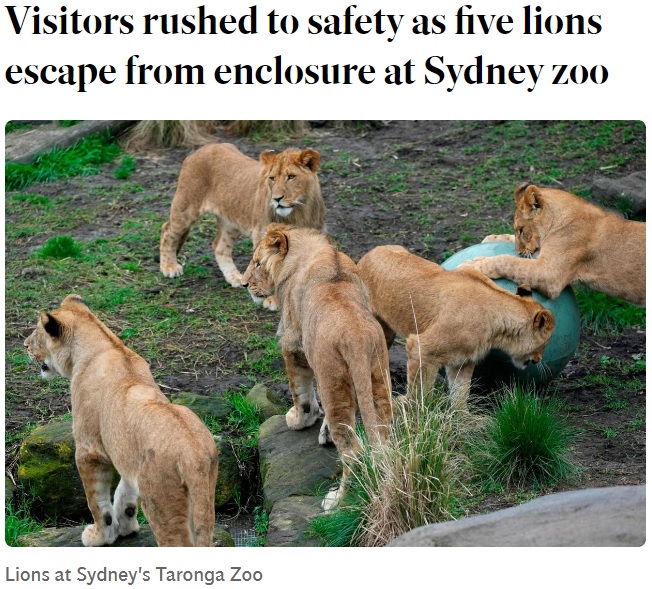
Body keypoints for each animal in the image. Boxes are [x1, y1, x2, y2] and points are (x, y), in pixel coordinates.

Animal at [159, 142, 326, 300]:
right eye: (272, 178)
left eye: (291, 177)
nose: (276, 199)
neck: (298, 211)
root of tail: (201, 149)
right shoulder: (261, 234)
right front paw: (271, 300)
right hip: (186, 207)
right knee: (167, 230)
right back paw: (169, 267)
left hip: (231, 221)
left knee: (219, 246)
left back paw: (234, 277)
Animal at [241, 225, 390, 510]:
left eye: (257, 263)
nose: (244, 284)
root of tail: (356, 337)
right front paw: (324, 432)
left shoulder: (293, 345)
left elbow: (301, 392)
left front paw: (299, 420)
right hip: (377, 379)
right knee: (384, 438)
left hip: (333, 381)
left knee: (353, 451)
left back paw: (336, 500)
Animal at [356, 245, 556, 408]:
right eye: (545, 344)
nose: (538, 359)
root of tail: (367, 254)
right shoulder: (421, 348)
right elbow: (420, 391)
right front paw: (413, 412)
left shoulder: (462, 361)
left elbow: (461, 392)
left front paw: (464, 420)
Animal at [460, 183, 644, 304]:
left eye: (521, 230)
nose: (519, 251)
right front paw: (491, 238)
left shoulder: (550, 274)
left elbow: (507, 260)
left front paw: (472, 265)